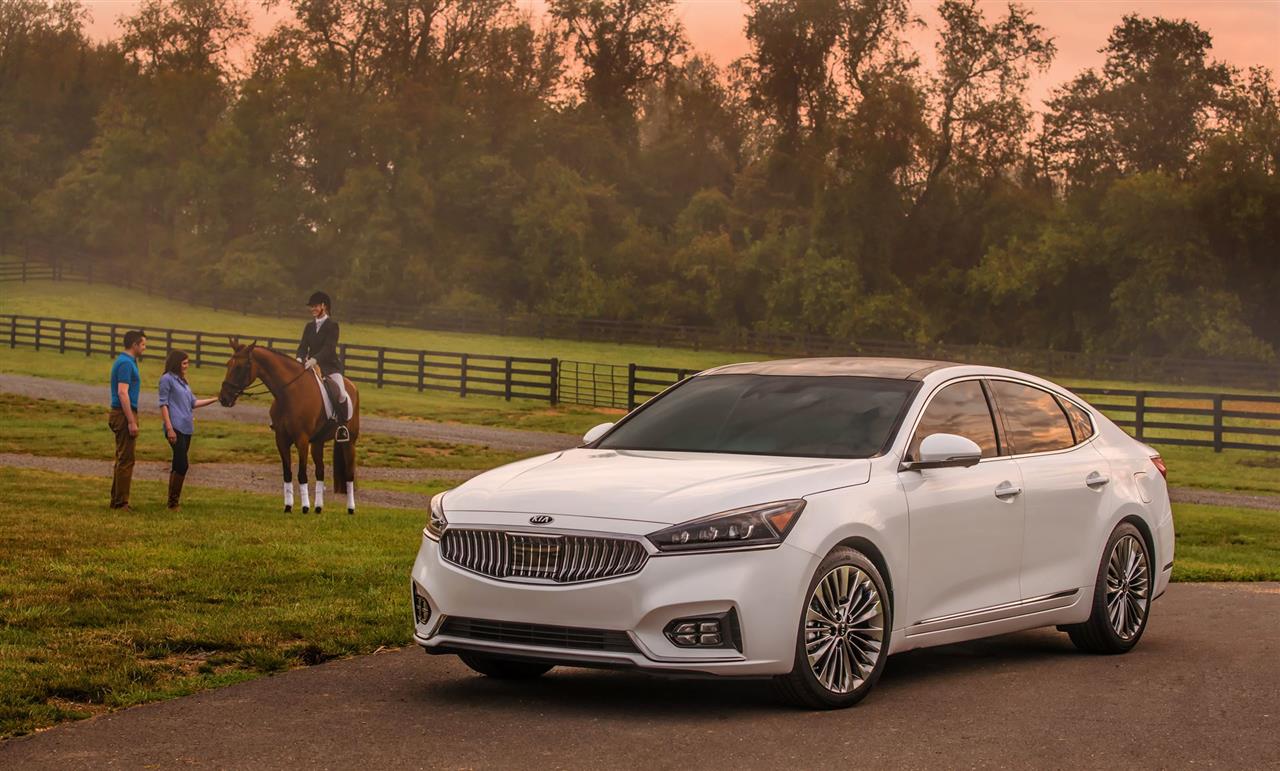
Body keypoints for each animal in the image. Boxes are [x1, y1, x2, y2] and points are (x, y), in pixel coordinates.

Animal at [218, 338, 360, 512]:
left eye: (240, 367)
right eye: (228, 364)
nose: (224, 398)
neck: (290, 393)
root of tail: (352, 385)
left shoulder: (302, 440)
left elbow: (302, 474)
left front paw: (304, 507)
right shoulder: (281, 439)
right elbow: (287, 473)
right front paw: (288, 506)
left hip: (349, 442)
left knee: (349, 474)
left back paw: (350, 508)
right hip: (317, 443)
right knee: (320, 471)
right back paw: (318, 508)